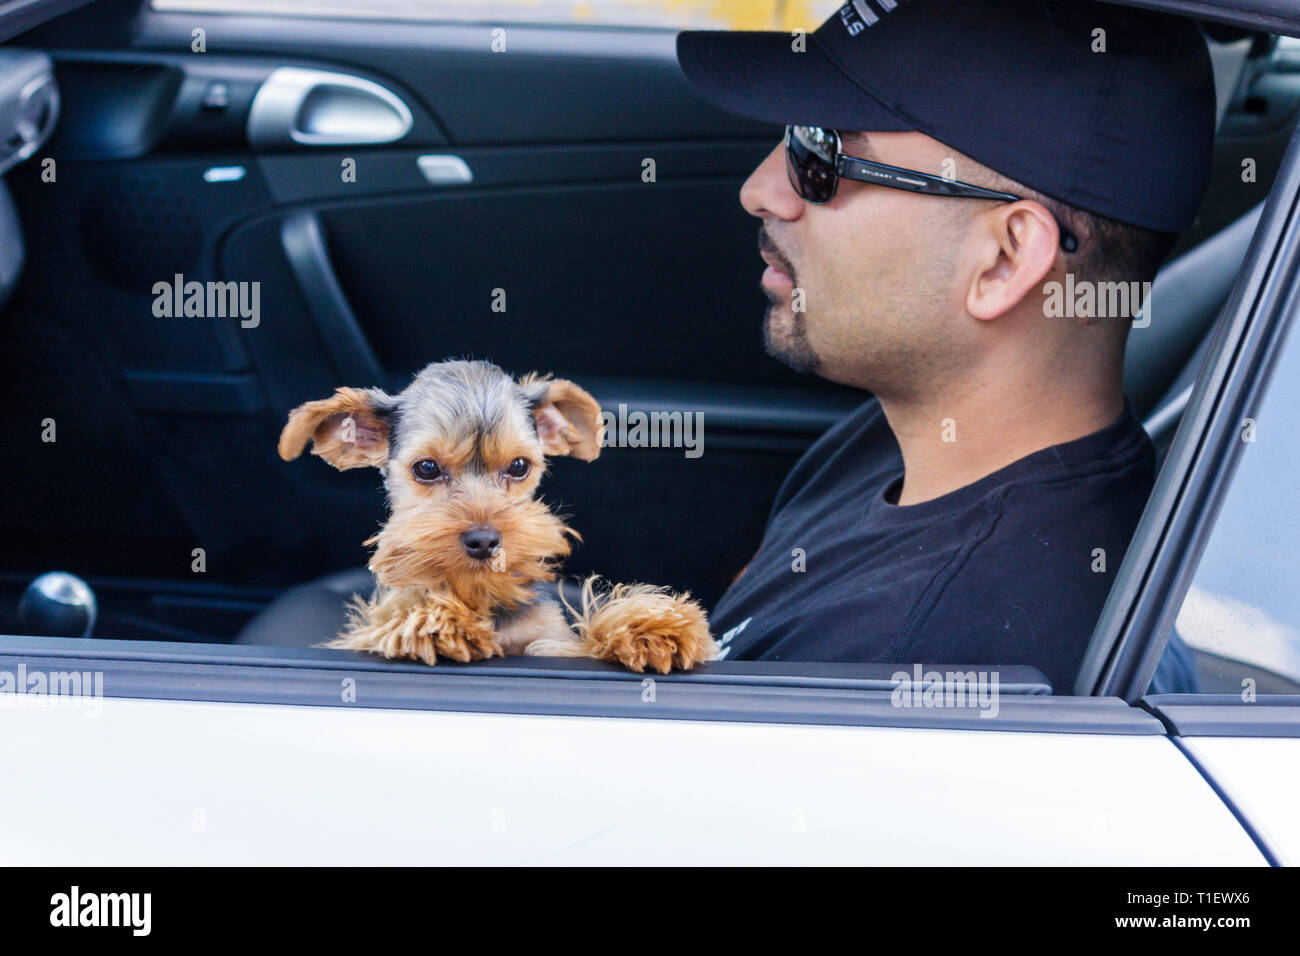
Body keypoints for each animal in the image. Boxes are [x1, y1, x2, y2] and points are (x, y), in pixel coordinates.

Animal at [278, 358, 717, 671]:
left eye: (520, 466)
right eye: (426, 468)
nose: (484, 540)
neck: (481, 594)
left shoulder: (552, 641)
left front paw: (651, 625)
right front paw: (434, 620)